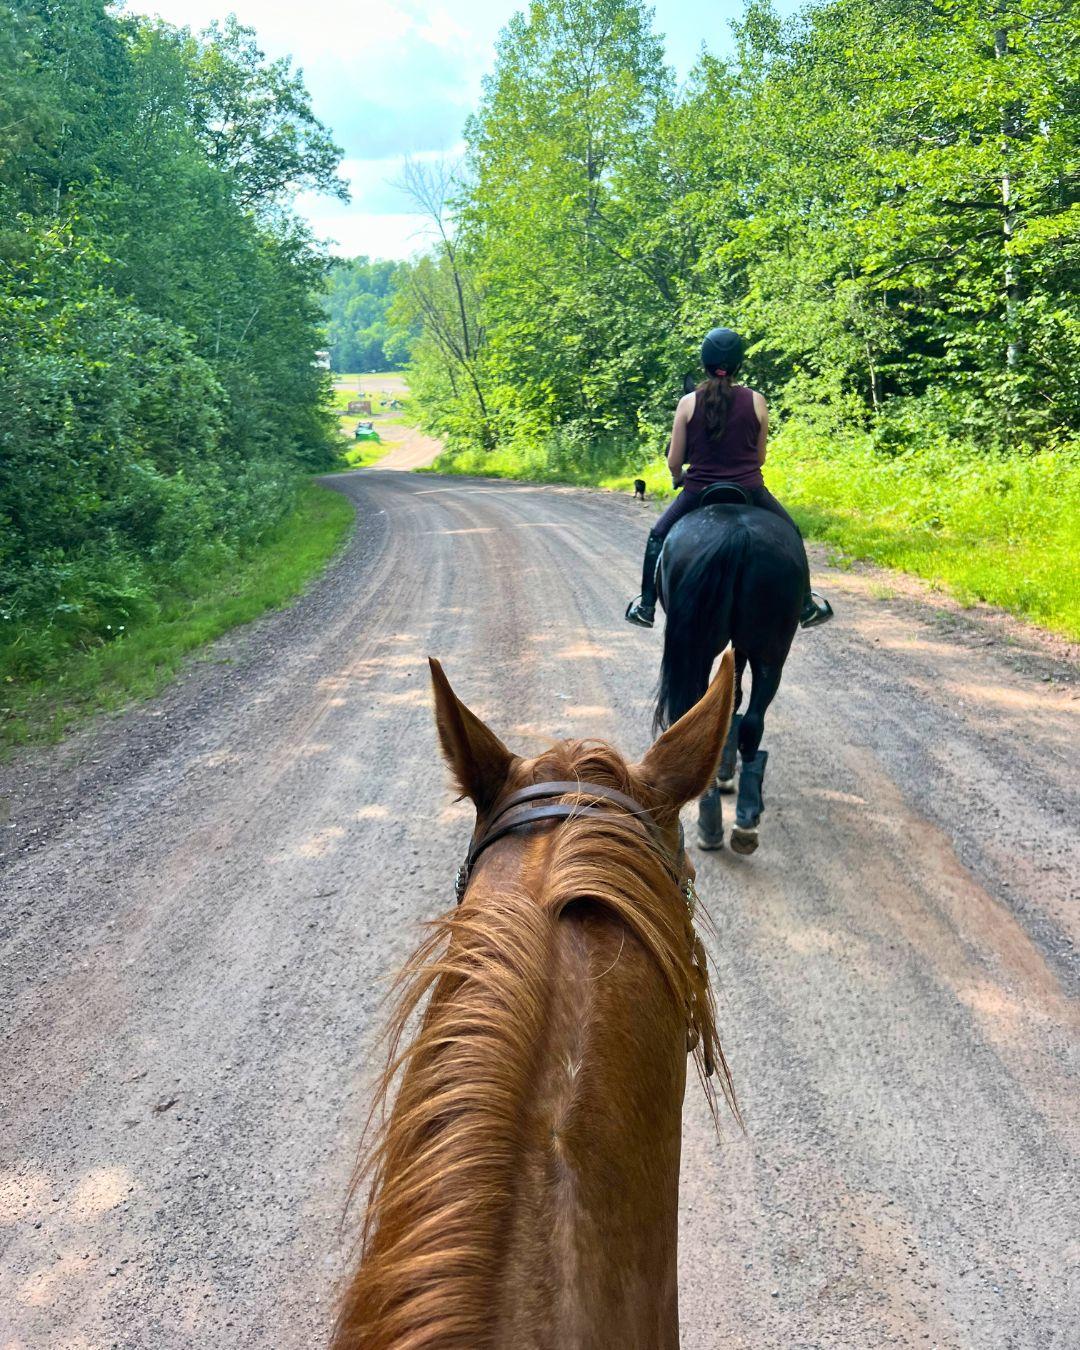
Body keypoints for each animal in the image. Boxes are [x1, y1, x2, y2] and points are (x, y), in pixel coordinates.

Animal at [655, 489, 803, 854]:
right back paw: (743, 819)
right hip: (770, 650)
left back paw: (712, 818)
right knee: (752, 722)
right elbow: (733, 699)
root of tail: (737, 537)